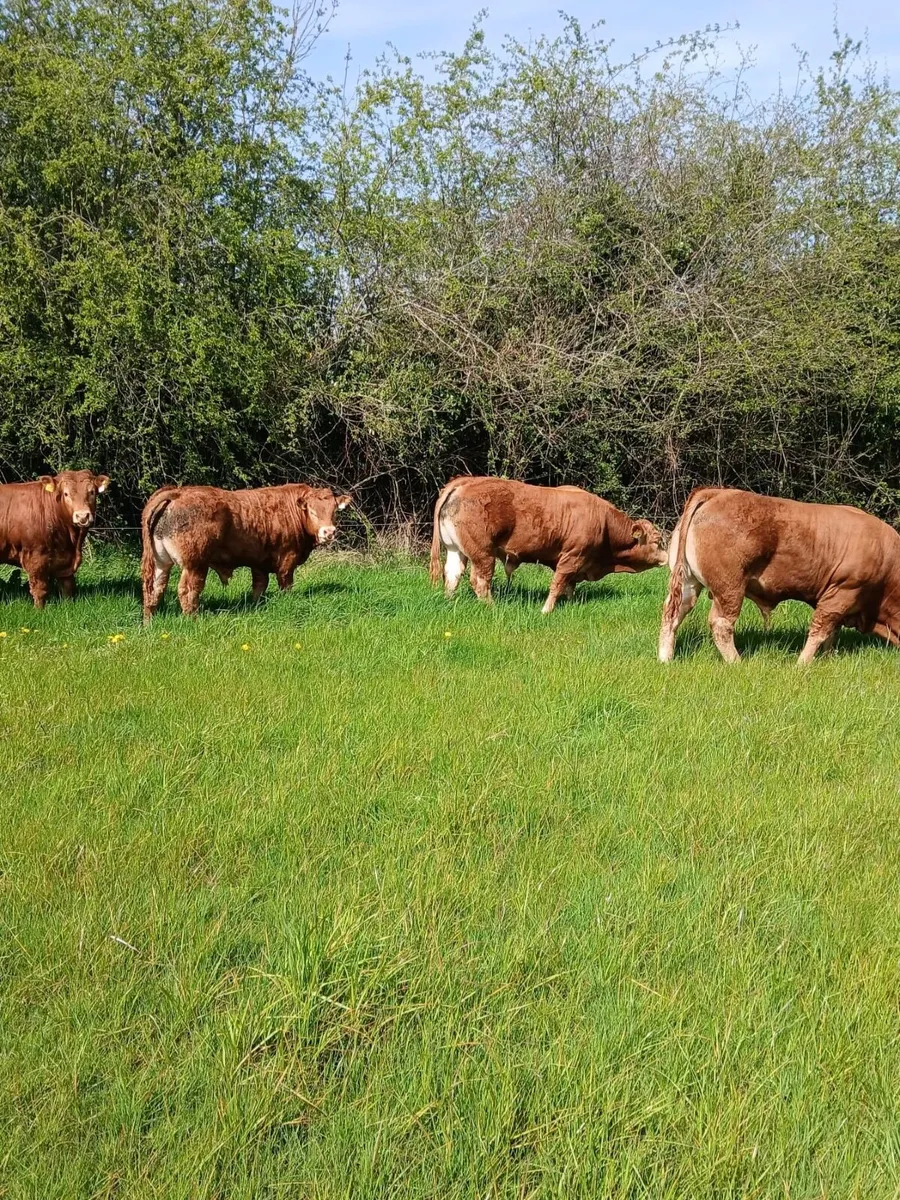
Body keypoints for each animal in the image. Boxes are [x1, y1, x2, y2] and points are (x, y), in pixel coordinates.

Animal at [0, 470, 109, 606]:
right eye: (66, 494)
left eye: (92, 492)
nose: (82, 516)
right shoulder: (35, 556)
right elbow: (39, 589)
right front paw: (39, 609)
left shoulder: (66, 561)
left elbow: (67, 586)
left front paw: (68, 606)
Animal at [140, 483, 352, 621]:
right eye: (313, 511)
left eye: (334, 511)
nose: (329, 532)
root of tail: (178, 493)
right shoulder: (287, 559)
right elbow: (285, 585)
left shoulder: (259, 563)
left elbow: (259, 587)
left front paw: (254, 606)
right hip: (195, 565)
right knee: (188, 591)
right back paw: (193, 620)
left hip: (160, 563)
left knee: (153, 590)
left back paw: (149, 623)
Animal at [429, 475, 667, 612]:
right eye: (658, 541)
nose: (667, 558)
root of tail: (465, 482)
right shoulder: (572, 557)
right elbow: (558, 584)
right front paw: (546, 610)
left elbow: (569, 586)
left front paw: (571, 604)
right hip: (483, 553)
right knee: (480, 580)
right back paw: (492, 607)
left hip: (455, 550)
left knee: (452, 575)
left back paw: (449, 601)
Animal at [658, 487, 900, 663]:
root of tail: (717, 492)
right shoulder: (842, 592)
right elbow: (820, 630)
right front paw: (802, 664)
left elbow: (832, 631)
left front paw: (828, 658)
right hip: (730, 586)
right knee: (721, 624)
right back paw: (737, 662)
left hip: (688, 582)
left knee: (672, 614)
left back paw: (665, 659)